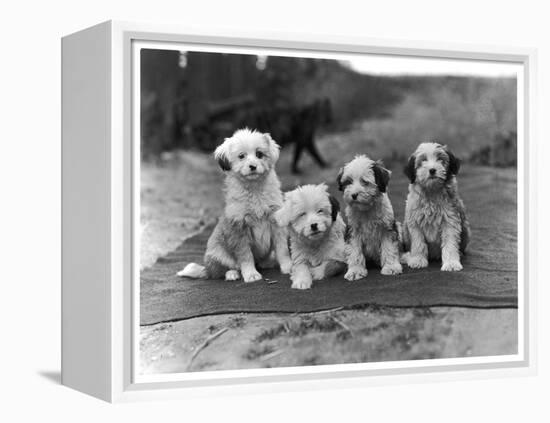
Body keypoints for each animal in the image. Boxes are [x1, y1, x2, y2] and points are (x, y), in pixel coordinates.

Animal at [179, 127, 296, 284]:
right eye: (241, 156)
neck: (254, 189)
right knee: (222, 270)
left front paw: (288, 267)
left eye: (259, 154)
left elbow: (282, 248)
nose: (252, 166)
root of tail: (206, 268)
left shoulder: (276, 223)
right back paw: (232, 274)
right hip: (218, 253)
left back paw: (267, 262)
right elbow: (245, 256)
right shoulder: (239, 228)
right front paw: (251, 274)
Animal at [404, 142, 472, 272]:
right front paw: (417, 260)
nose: (432, 170)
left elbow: (450, 244)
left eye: (440, 159)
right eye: (423, 160)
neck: (432, 191)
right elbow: (418, 243)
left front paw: (451, 263)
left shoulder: (450, 221)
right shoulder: (414, 222)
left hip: (465, 229)